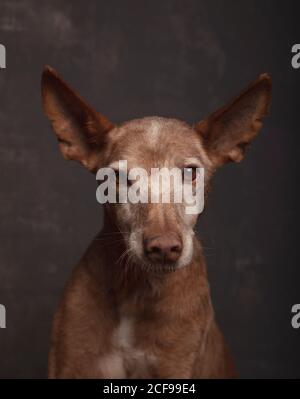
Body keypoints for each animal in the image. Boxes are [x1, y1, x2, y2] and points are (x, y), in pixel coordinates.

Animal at [41, 67, 272, 380]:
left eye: (190, 172)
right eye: (118, 177)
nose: (163, 248)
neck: (136, 290)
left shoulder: (176, 370)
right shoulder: (72, 364)